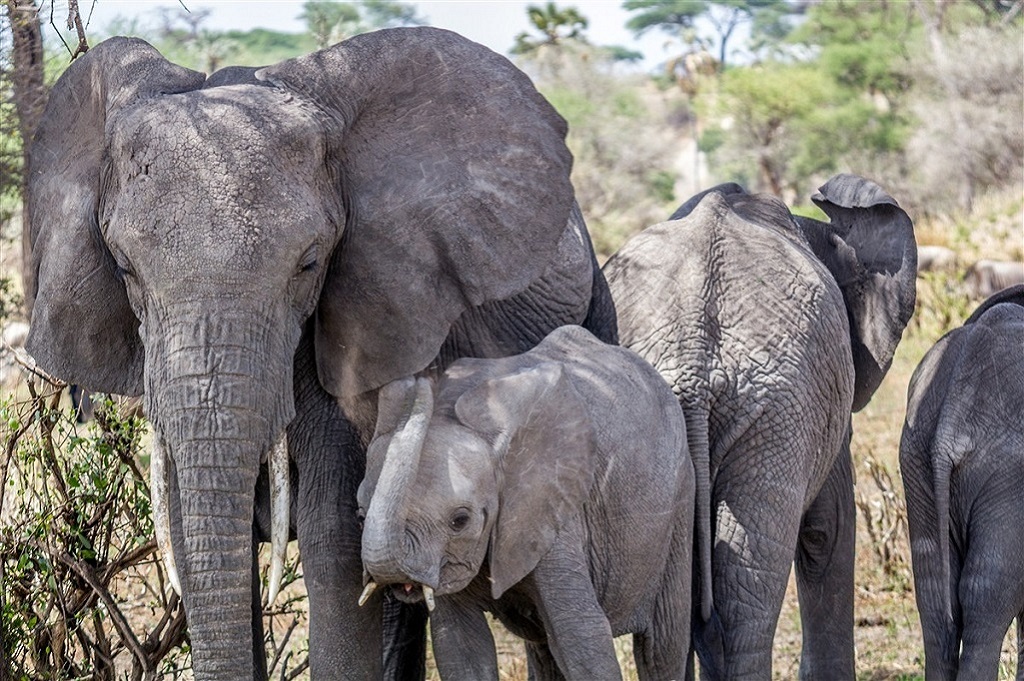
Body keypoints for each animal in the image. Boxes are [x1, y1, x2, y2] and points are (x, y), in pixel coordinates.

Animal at [356, 325, 692, 679]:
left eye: (460, 520)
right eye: (360, 517)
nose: (416, 378)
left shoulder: (551, 509)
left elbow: (580, 634)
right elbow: (459, 643)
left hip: (681, 497)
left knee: (663, 646)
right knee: (546, 648)